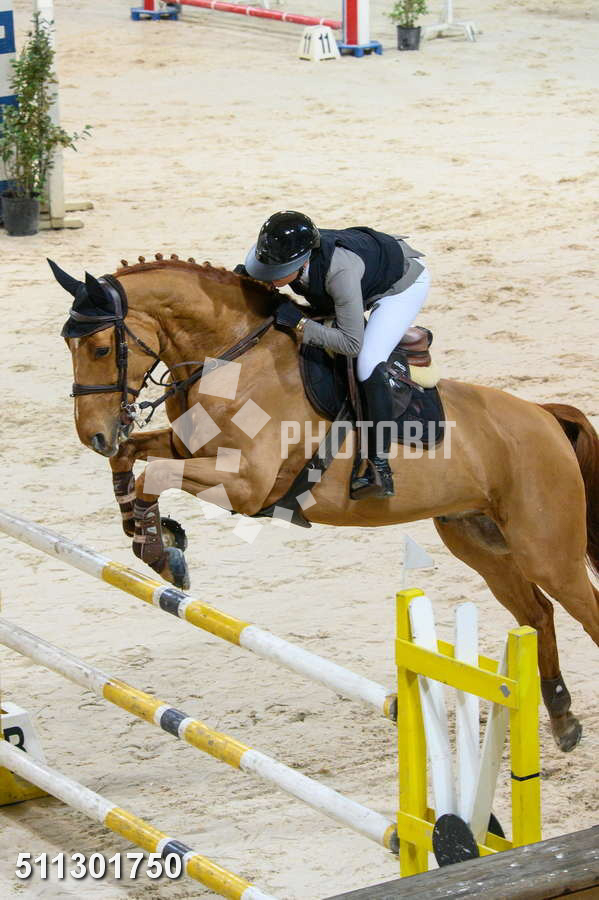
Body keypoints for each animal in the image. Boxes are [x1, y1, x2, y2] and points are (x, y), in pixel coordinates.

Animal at [51, 254, 599, 754]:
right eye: (68, 344)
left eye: (100, 347)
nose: (92, 434)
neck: (230, 357)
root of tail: (546, 416)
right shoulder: (190, 449)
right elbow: (131, 458)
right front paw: (154, 534)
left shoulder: (247, 483)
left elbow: (155, 475)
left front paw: (162, 552)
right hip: (482, 544)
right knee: (537, 613)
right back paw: (563, 719)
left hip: (547, 552)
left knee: (581, 609)